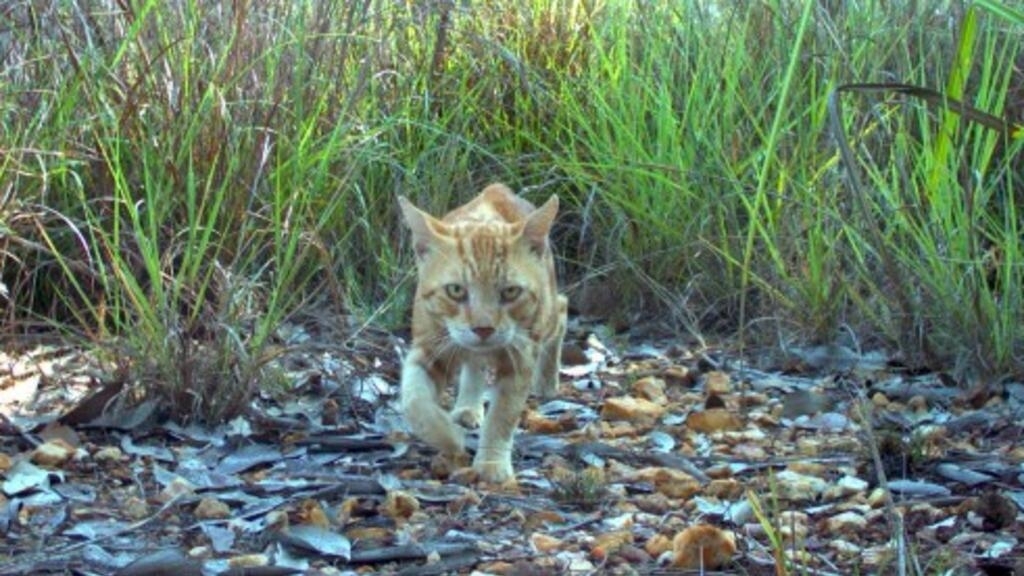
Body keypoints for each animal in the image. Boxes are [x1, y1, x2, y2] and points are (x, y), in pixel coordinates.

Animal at [395, 182, 569, 479]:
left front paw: (491, 463)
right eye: (455, 290)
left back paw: (546, 381)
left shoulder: (520, 358)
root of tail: (496, 189)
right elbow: (414, 403)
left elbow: (502, 416)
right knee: (474, 364)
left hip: (545, 316)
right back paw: (467, 406)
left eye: (510, 292)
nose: (483, 328)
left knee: (562, 308)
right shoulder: (428, 348)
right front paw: (448, 437)